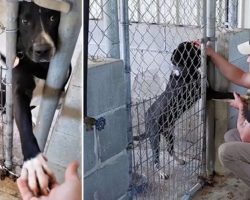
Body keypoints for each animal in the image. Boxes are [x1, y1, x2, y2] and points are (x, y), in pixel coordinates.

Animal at [135, 41, 234, 179]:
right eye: (192, 48)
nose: (204, 48)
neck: (186, 70)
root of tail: (146, 117)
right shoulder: (209, 93)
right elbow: (226, 94)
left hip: (170, 133)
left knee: (170, 150)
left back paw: (179, 160)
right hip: (155, 137)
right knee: (155, 158)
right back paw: (161, 172)